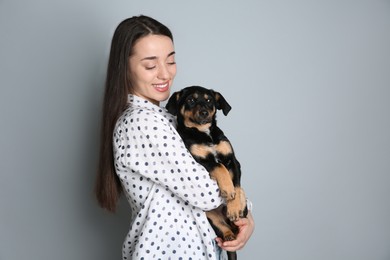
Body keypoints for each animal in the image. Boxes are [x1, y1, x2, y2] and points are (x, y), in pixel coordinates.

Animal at [167, 86, 247, 258]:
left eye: (209, 100)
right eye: (191, 100)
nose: (204, 112)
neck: (204, 133)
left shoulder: (233, 161)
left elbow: (237, 186)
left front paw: (234, 205)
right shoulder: (201, 161)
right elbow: (219, 167)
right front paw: (227, 189)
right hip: (210, 217)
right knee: (223, 228)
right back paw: (229, 236)